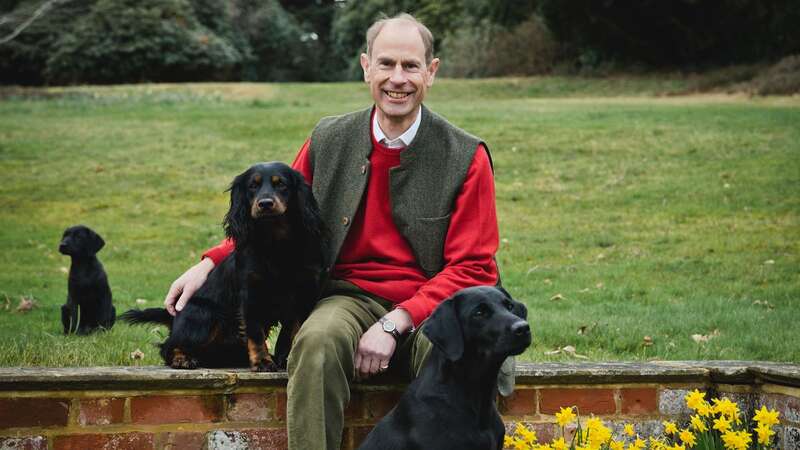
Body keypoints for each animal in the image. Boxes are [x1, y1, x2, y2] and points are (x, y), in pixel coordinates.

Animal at [122, 163, 324, 370]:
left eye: (281, 184)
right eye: (252, 186)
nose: (265, 204)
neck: (276, 243)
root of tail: (174, 316)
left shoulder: (303, 292)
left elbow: (293, 331)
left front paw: (286, 358)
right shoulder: (250, 295)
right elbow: (255, 333)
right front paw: (262, 361)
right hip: (205, 314)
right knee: (168, 346)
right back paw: (182, 358)